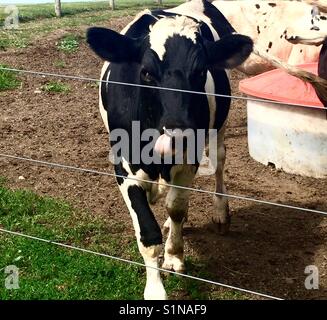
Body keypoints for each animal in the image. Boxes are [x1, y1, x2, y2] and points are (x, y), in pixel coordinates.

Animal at [87, 0, 254, 300]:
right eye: (146, 72)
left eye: (200, 72)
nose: (178, 134)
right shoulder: (123, 166)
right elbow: (148, 233)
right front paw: (155, 289)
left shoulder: (190, 160)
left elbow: (176, 207)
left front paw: (174, 255)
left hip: (219, 129)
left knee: (220, 164)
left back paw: (220, 213)